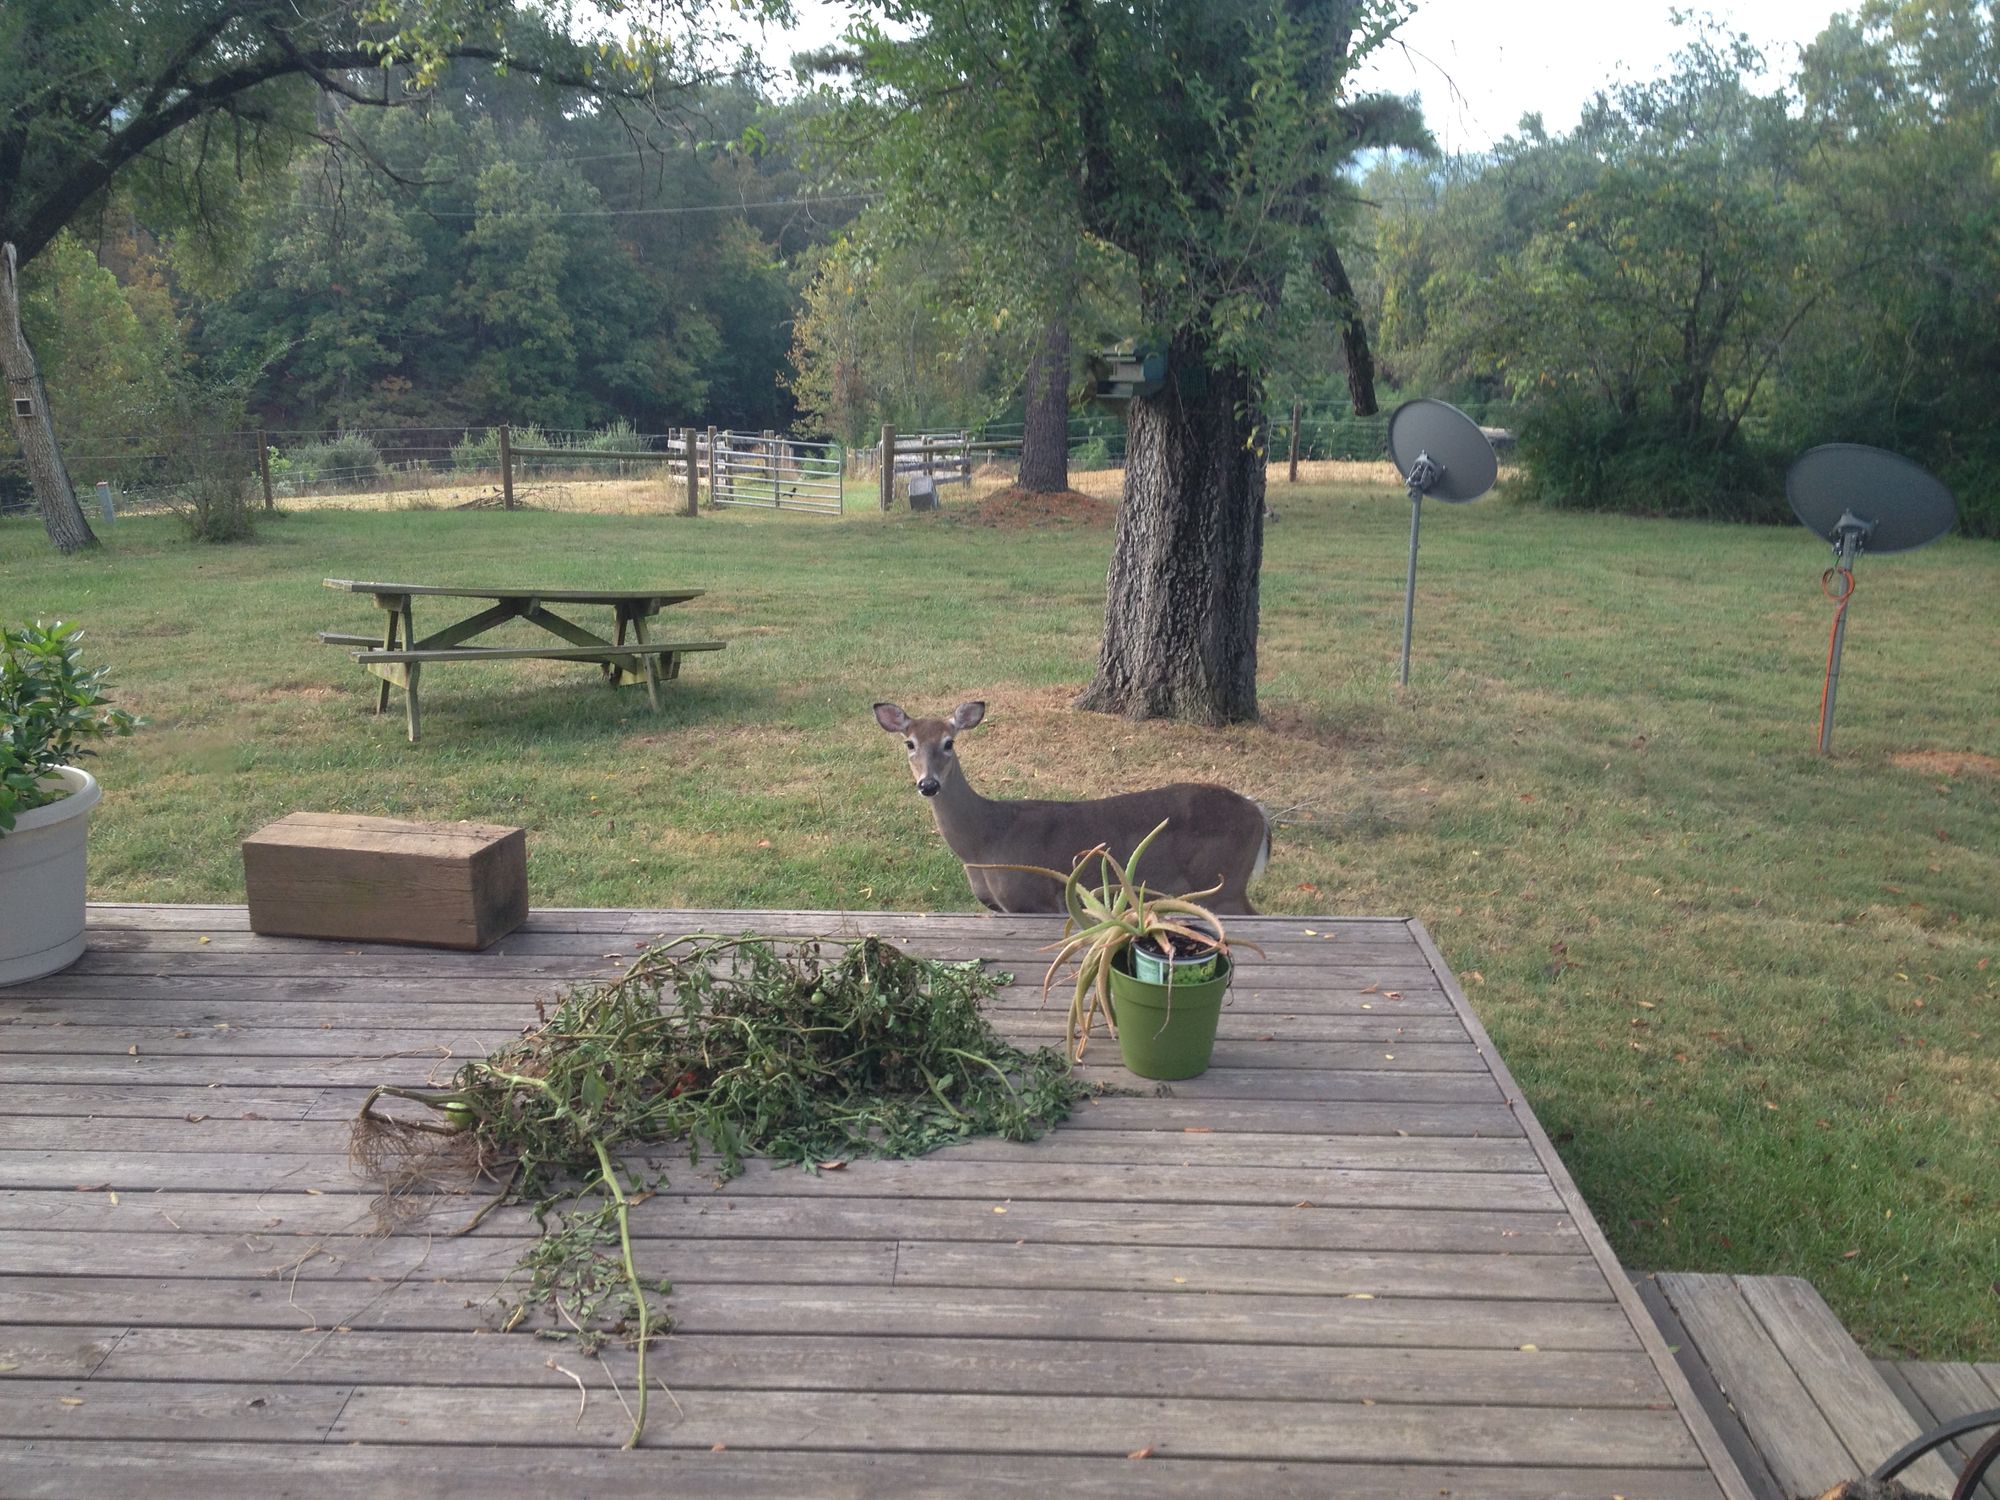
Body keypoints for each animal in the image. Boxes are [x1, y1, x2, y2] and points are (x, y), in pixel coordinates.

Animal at [872, 704, 1264, 916]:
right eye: (909, 743)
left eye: (949, 743)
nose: (928, 784)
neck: (986, 841)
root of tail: (1259, 813)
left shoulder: (1036, 899)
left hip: (1222, 882)